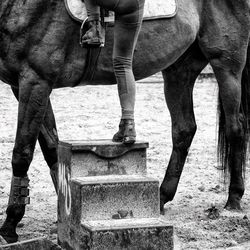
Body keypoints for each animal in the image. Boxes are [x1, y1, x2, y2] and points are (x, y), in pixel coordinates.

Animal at [0, 0, 249, 244]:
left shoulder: (35, 81)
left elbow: (22, 153)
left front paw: (10, 224)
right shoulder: (24, 86)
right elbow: (52, 149)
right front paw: (63, 213)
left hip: (226, 65)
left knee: (235, 128)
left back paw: (233, 198)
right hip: (179, 70)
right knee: (184, 129)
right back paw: (162, 196)